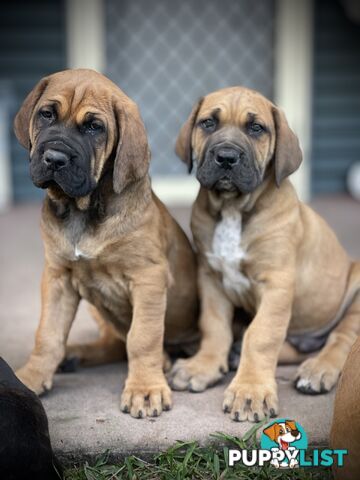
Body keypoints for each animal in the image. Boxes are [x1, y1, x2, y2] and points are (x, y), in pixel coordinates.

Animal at [14, 69, 198, 418]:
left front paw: (145, 389)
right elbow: (48, 334)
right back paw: (75, 354)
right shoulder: (57, 278)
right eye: (47, 114)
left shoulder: (148, 277)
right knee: (112, 343)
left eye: (94, 127)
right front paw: (31, 378)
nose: (54, 158)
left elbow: (142, 337)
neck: (83, 210)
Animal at [171, 85, 360, 420]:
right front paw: (203, 366)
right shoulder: (210, 278)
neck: (233, 208)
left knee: (341, 338)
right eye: (208, 123)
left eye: (256, 128)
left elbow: (261, 335)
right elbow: (214, 326)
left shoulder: (276, 284)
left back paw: (318, 370)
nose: (226, 157)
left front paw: (251, 391)